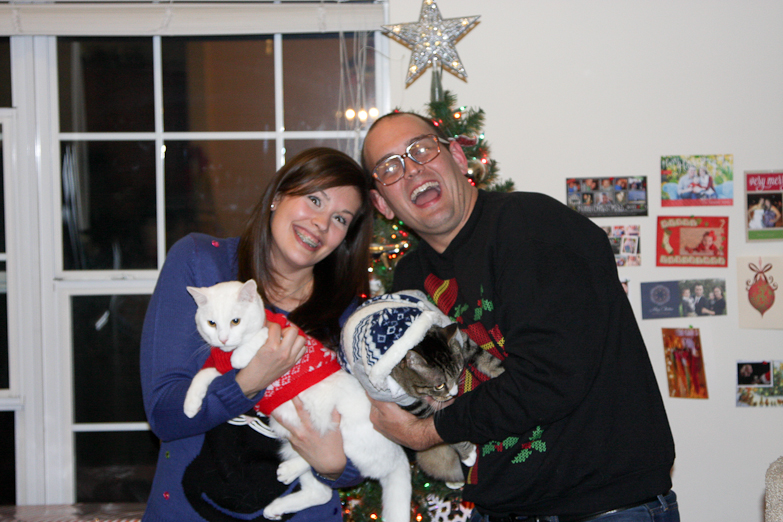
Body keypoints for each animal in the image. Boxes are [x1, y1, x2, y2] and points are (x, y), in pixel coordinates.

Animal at [184, 280, 411, 522]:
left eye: (235, 321)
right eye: (211, 323)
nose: (223, 339)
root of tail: (399, 452)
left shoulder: (285, 336)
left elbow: (260, 338)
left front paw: (240, 355)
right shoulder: (220, 368)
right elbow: (203, 375)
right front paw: (190, 405)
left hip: (348, 435)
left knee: (344, 458)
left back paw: (290, 469)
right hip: (293, 446)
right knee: (320, 492)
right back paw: (277, 504)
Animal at [390, 323, 504, 484]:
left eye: (459, 371)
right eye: (439, 386)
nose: (454, 393)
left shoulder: (464, 342)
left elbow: (486, 358)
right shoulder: (409, 402)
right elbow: (441, 426)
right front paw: (468, 453)